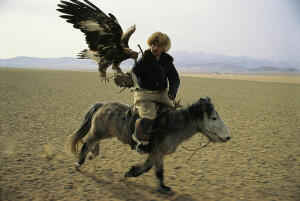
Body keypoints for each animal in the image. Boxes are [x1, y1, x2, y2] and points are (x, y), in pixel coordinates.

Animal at [67, 96, 231, 194]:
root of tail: (102, 105)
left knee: (93, 144)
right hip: (98, 132)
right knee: (86, 144)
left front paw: (131, 172)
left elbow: (147, 167)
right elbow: (158, 171)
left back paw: (93, 154)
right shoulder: (158, 152)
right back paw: (79, 163)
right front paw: (164, 188)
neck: (172, 125)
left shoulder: (155, 153)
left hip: (104, 133)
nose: (228, 136)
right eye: (214, 118)